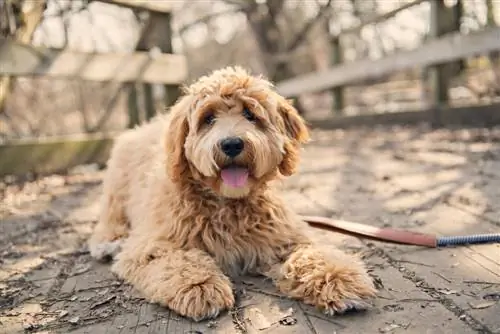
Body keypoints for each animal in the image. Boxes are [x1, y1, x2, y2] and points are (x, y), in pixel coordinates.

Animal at [88, 66, 376, 320]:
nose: (232, 144)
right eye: (208, 119)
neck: (227, 203)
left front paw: (338, 277)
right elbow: (176, 260)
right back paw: (107, 241)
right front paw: (200, 286)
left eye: (250, 114)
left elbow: (311, 254)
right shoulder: (150, 245)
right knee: (110, 217)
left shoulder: (283, 237)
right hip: (117, 188)